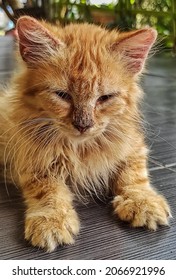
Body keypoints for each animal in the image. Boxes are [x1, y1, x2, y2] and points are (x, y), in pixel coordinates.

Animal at [0, 15, 170, 252]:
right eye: (62, 95)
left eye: (105, 98)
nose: (83, 125)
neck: (79, 148)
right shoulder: (32, 160)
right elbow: (49, 191)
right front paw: (51, 219)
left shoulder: (133, 146)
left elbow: (134, 176)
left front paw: (143, 201)